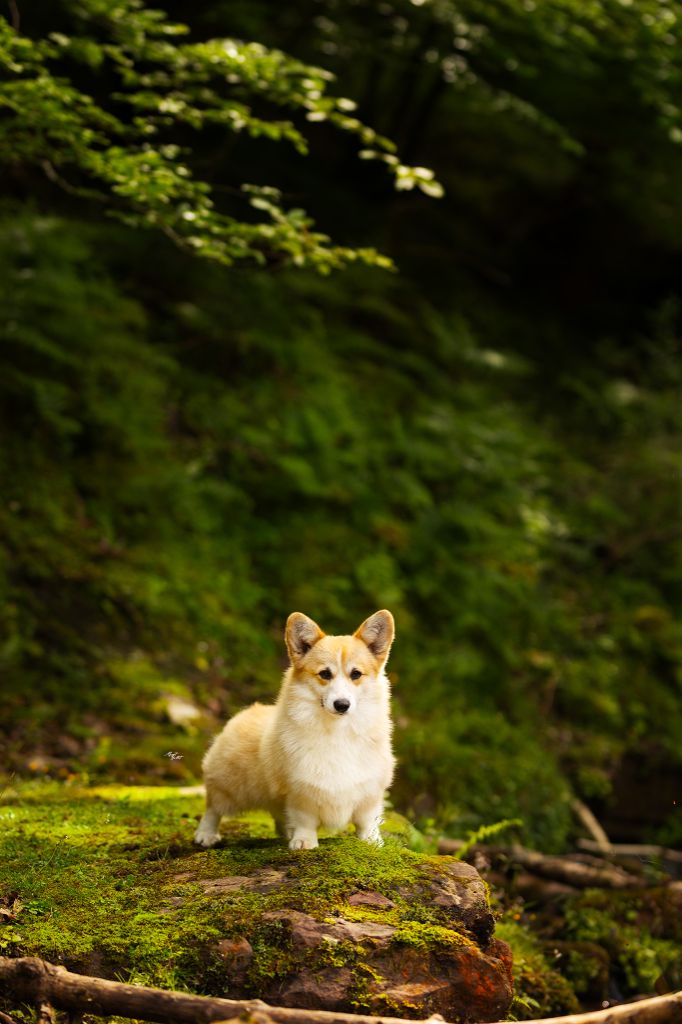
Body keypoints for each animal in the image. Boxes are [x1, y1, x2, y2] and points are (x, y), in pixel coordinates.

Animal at [192, 606, 393, 847]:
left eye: (356, 674)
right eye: (325, 674)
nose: (342, 705)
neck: (337, 730)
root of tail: (246, 711)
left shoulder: (369, 792)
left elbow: (367, 822)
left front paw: (372, 842)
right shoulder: (300, 790)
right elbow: (305, 819)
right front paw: (305, 842)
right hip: (229, 787)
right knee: (213, 809)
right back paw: (205, 834)